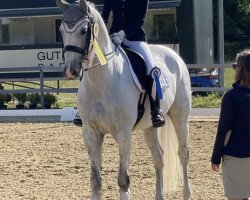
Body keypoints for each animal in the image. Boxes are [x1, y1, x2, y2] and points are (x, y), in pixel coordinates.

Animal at [56, 0, 191, 199]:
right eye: (61, 30)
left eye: (83, 31)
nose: (69, 71)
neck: (102, 80)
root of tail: (174, 55)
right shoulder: (91, 133)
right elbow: (95, 180)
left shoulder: (123, 133)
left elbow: (123, 180)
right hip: (150, 126)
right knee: (158, 156)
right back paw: (159, 195)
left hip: (180, 117)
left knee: (183, 154)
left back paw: (187, 193)